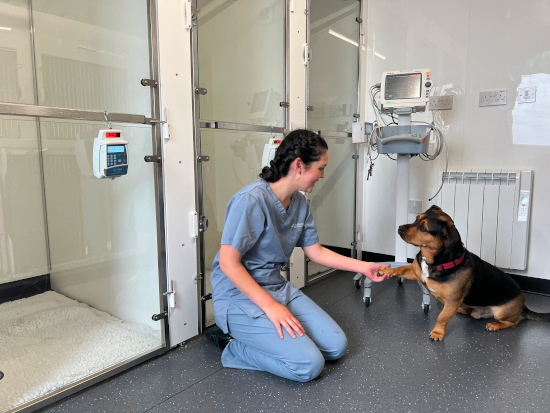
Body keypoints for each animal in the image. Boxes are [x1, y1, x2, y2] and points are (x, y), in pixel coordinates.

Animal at [380, 204, 550, 340]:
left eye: (423, 228)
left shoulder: (452, 301)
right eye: (416, 218)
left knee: (511, 323)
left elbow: (442, 317)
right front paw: (386, 269)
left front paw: (437, 333)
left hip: (501, 312)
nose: (399, 228)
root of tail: (523, 303)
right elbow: (400, 269)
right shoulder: (415, 271)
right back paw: (466, 309)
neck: (436, 261)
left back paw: (495, 325)